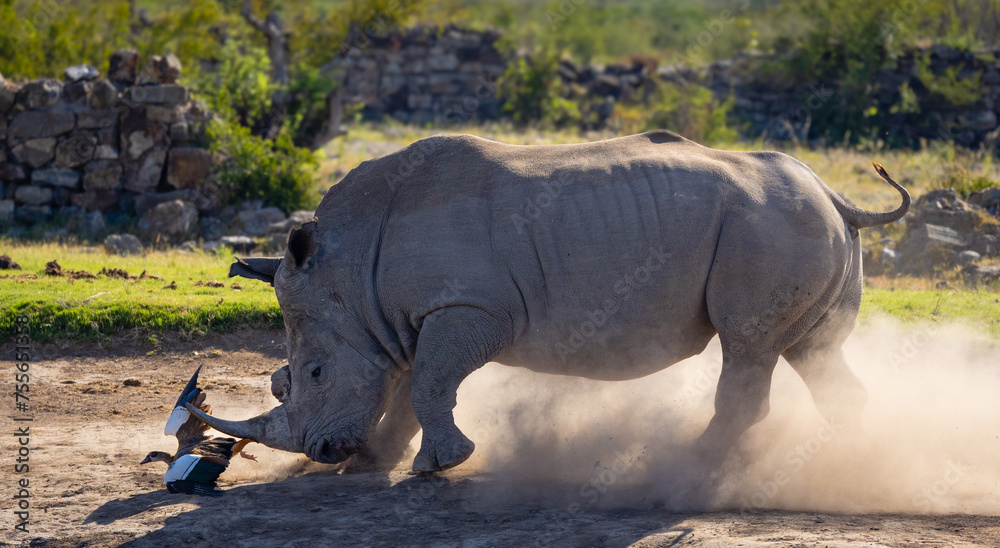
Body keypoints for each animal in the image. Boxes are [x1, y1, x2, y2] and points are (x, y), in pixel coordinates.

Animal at [189, 131, 909, 473]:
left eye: (312, 374)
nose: (321, 452)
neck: (349, 268)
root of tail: (835, 194)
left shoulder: (468, 309)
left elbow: (427, 383)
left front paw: (439, 465)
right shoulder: (401, 322)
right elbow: (407, 387)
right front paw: (379, 464)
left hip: (769, 225)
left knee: (749, 346)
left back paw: (690, 462)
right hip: (796, 223)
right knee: (811, 350)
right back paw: (852, 460)